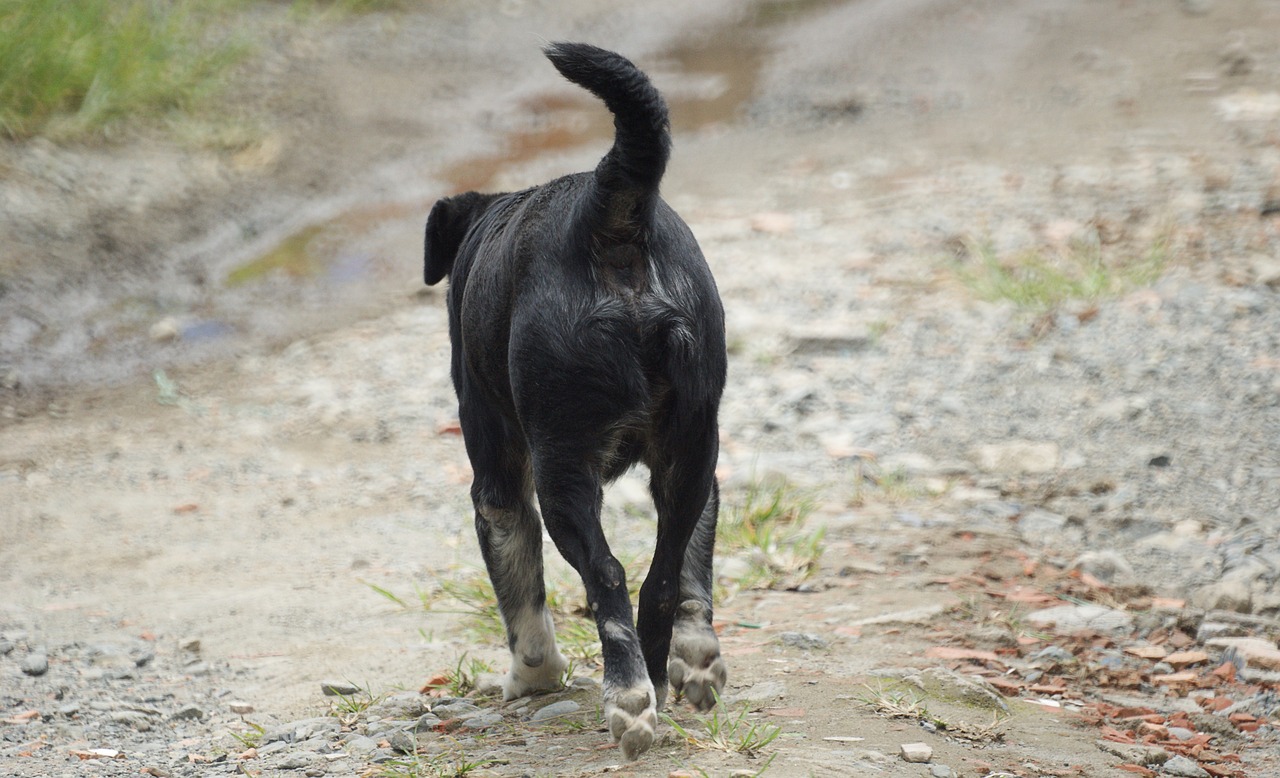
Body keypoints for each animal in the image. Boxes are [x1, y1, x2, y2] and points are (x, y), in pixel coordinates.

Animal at [424, 44, 727, 757]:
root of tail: (608, 214)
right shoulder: (702, 467)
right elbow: (693, 568)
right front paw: (695, 657)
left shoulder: (499, 483)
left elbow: (521, 594)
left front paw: (532, 675)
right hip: (690, 448)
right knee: (659, 579)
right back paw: (656, 682)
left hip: (562, 473)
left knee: (609, 576)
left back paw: (629, 699)